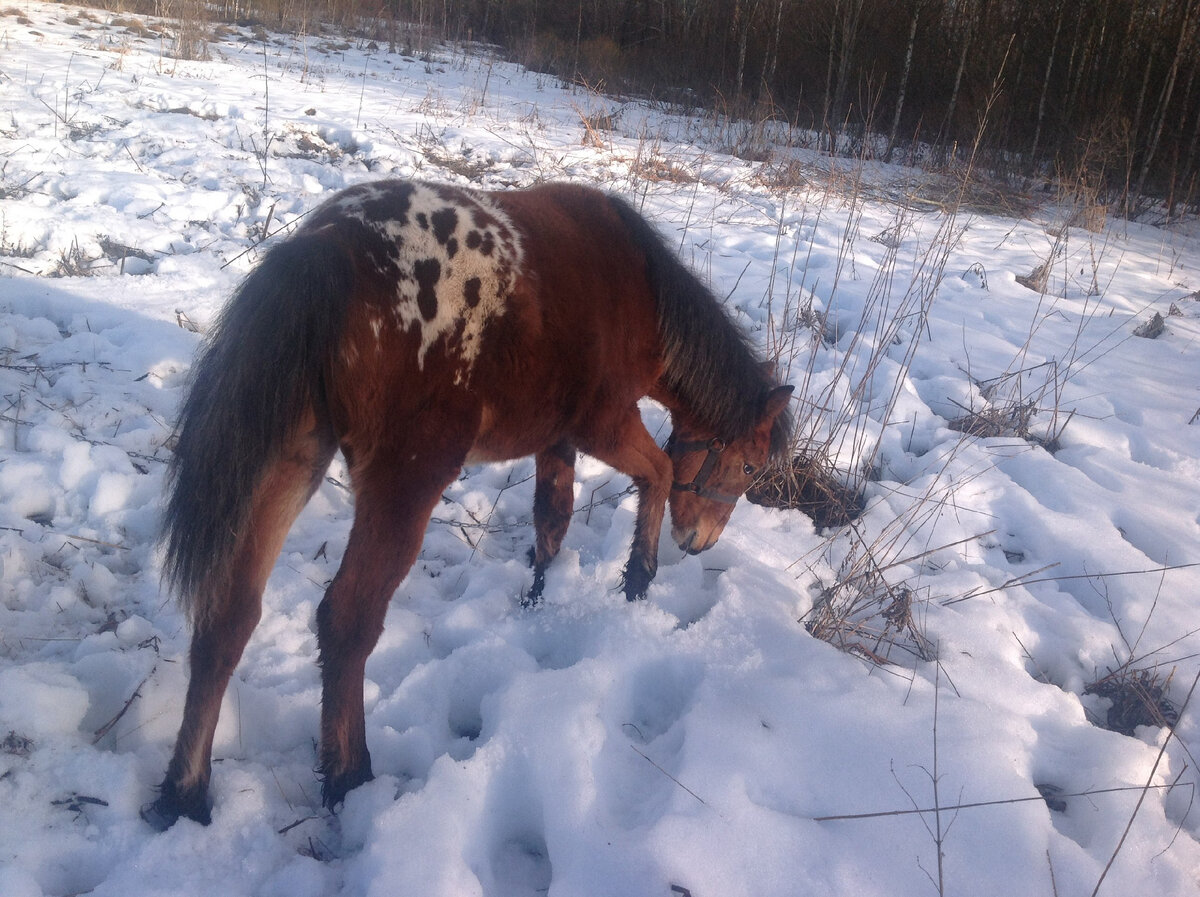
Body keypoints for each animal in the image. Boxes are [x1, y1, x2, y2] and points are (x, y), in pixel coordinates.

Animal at [140, 175, 792, 825]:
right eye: (751, 465)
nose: (700, 541)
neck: (642, 289)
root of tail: (327, 251)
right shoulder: (603, 425)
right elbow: (658, 472)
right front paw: (638, 578)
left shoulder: (555, 437)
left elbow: (552, 518)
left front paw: (539, 596)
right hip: (405, 487)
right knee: (346, 620)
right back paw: (349, 776)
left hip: (291, 461)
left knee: (228, 617)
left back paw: (185, 791)